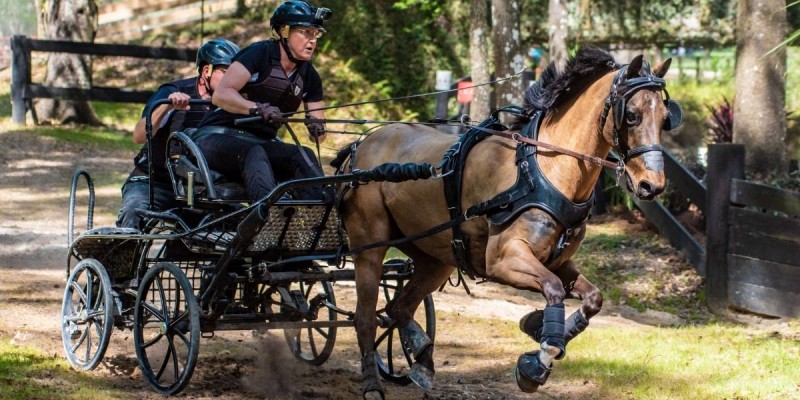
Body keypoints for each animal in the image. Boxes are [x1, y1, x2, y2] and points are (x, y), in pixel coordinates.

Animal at [332, 46, 680, 396]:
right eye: (631, 115)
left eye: (665, 118)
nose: (652, 185)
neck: (542, 170)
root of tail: (362, 143)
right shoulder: (503, 260)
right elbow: (553, 290)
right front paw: (538, 360)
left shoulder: (557, 262)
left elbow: (593, 299)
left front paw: (541, 328)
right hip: (370, 249)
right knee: (365, 317)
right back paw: (373, 383)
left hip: (435, 258)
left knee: (398, 308)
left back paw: (422, 359)